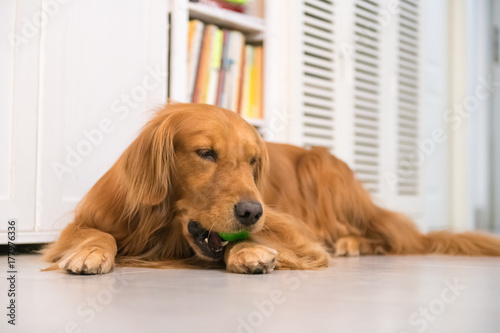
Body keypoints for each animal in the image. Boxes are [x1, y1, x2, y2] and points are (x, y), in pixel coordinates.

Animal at [42, 103, 500, 272]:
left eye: (252, 161)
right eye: (205, 153)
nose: (250, 211)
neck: (164, 227)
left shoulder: (288, 224)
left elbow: (266, 239)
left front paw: (250, 251)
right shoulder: (87, 219)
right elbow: (94, 233)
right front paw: (91, 252)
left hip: (322, 165)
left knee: (390, 237)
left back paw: (354, 243)